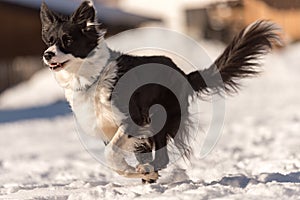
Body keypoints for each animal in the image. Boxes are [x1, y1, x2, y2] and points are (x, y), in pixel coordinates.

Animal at [39, 0, 278, 184]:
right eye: (49, 40)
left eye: (68, 40)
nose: (47, 54)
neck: (93, 77)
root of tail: (183, 73)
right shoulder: (108, 128)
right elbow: (115, 160)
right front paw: (139, 172)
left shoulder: (133, 119)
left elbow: (111, 154)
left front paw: (142, 171)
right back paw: (148, 174)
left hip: (160, 116)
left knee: (162, 157)